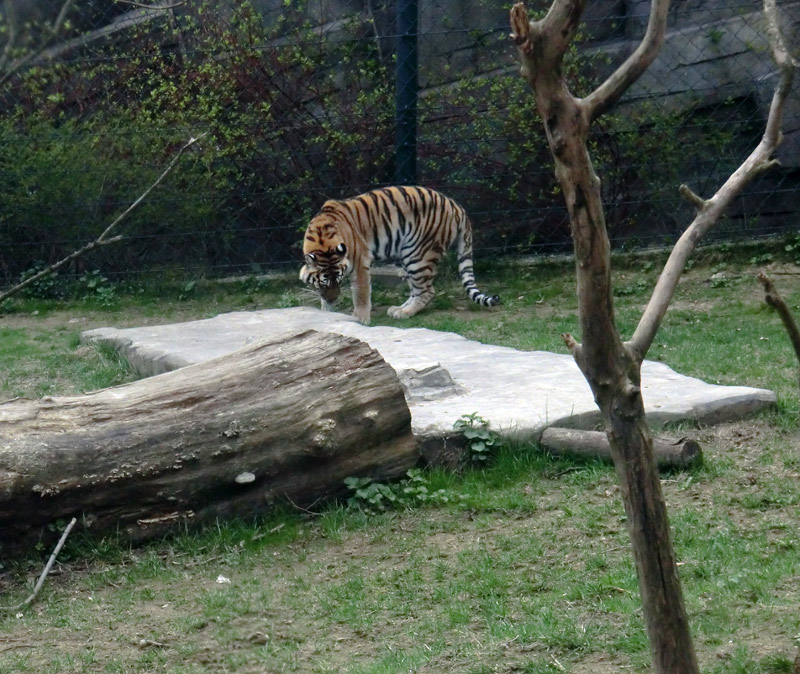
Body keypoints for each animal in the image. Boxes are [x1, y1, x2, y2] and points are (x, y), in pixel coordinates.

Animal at [300, 182, 500, 322]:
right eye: (323, 282)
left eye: (339, 280)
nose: (333, 300)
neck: (322, 241)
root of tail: (457, 206)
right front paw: (326, 313)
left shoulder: (360, 264)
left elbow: (361, 296)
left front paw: (361, 321)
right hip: (407, 256)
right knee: (416, 290)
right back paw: (398, 309)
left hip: (418, 255)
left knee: (427, 291)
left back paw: (405, 313)